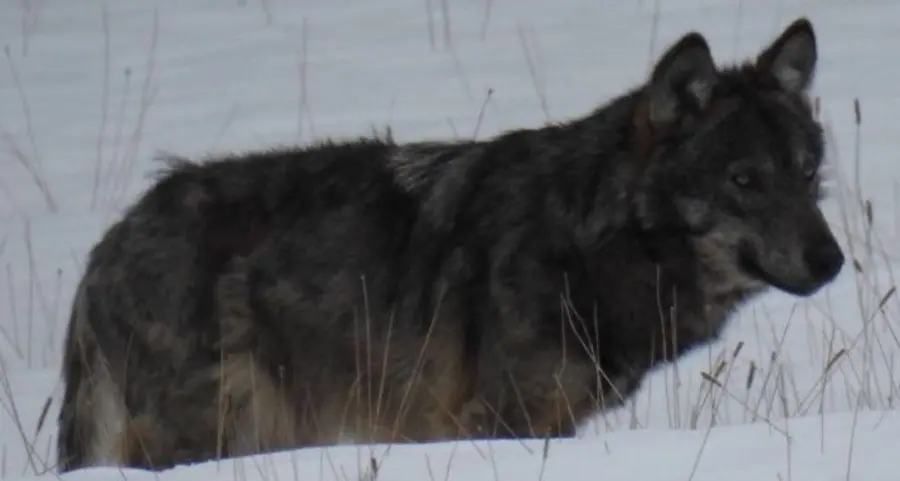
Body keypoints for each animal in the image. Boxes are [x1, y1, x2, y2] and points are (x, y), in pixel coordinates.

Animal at [57, 17, 843, 472]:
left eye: (807, 173)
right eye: (744, 179)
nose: (833, 261)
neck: (583, 240)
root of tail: (105, 246)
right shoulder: (500, 423)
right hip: (214, 430)